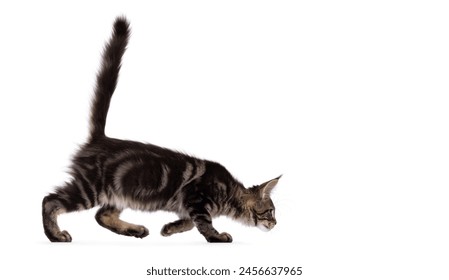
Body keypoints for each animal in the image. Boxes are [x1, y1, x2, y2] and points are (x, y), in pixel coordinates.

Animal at [42, 17, 280, 243]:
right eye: (270, 212)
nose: (276, 223)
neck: (229, 192)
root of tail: (100, 138)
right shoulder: (196, 198)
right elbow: (203, 223)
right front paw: (217, 237)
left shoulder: (189, 206)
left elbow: (189, 222)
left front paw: (170, 228)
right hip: (91, 188)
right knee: (49, 200)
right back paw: (55, 235)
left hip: (119, 192)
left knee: (102, 215)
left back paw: (134, 229)